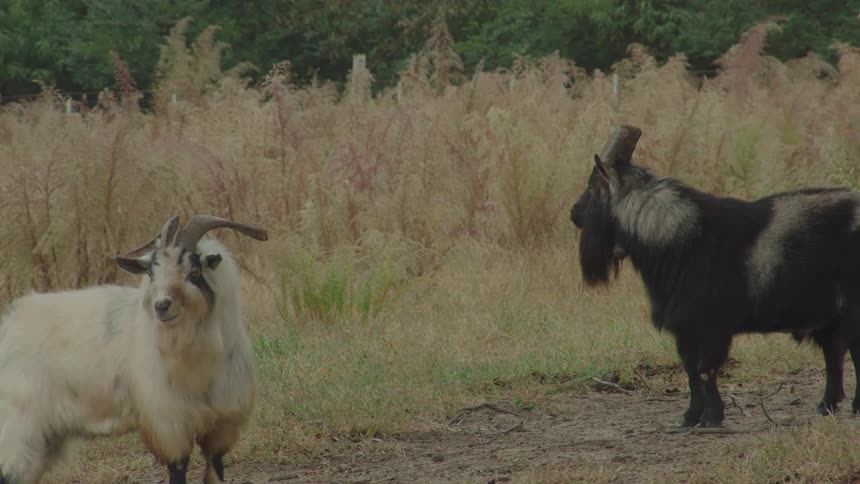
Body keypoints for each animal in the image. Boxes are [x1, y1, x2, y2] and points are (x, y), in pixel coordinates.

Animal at [0, 214, 268, 484]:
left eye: (194, 271)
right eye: (151, 273)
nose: (162, 306)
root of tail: (8, 327)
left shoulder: (223, 423)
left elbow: (216, 469)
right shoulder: (170, 424)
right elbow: (178, 469)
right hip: (18, 431)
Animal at [570, 125, 860, 428]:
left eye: (593, 185)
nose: (573, 213)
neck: (683, 237)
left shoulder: (710, 326)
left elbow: (705, 370)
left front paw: (711, 418)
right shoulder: (686, 330)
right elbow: (690, 372)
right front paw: (690, 418)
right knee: (835, 352)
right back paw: (827, 406)